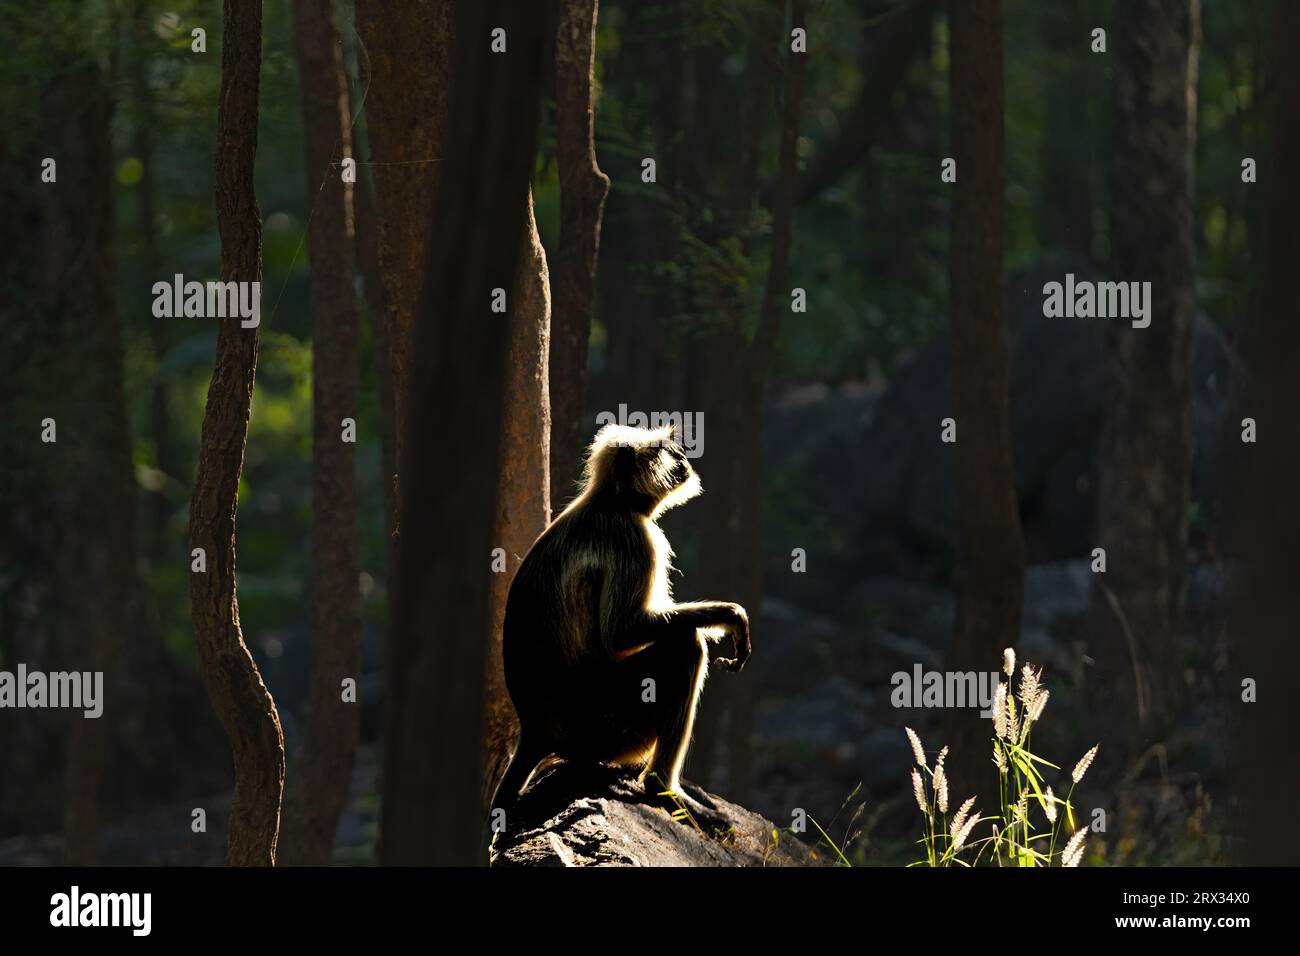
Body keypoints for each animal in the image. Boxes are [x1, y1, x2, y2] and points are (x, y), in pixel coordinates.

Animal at [488, 424, 754, 816]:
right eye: (663, 449)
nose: (682, 456)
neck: (613, 501)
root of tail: (535, 730)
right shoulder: (634, 538)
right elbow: (621, 632)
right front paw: (731, 616)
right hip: (607, 725)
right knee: (684, 644)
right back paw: (662, 788)